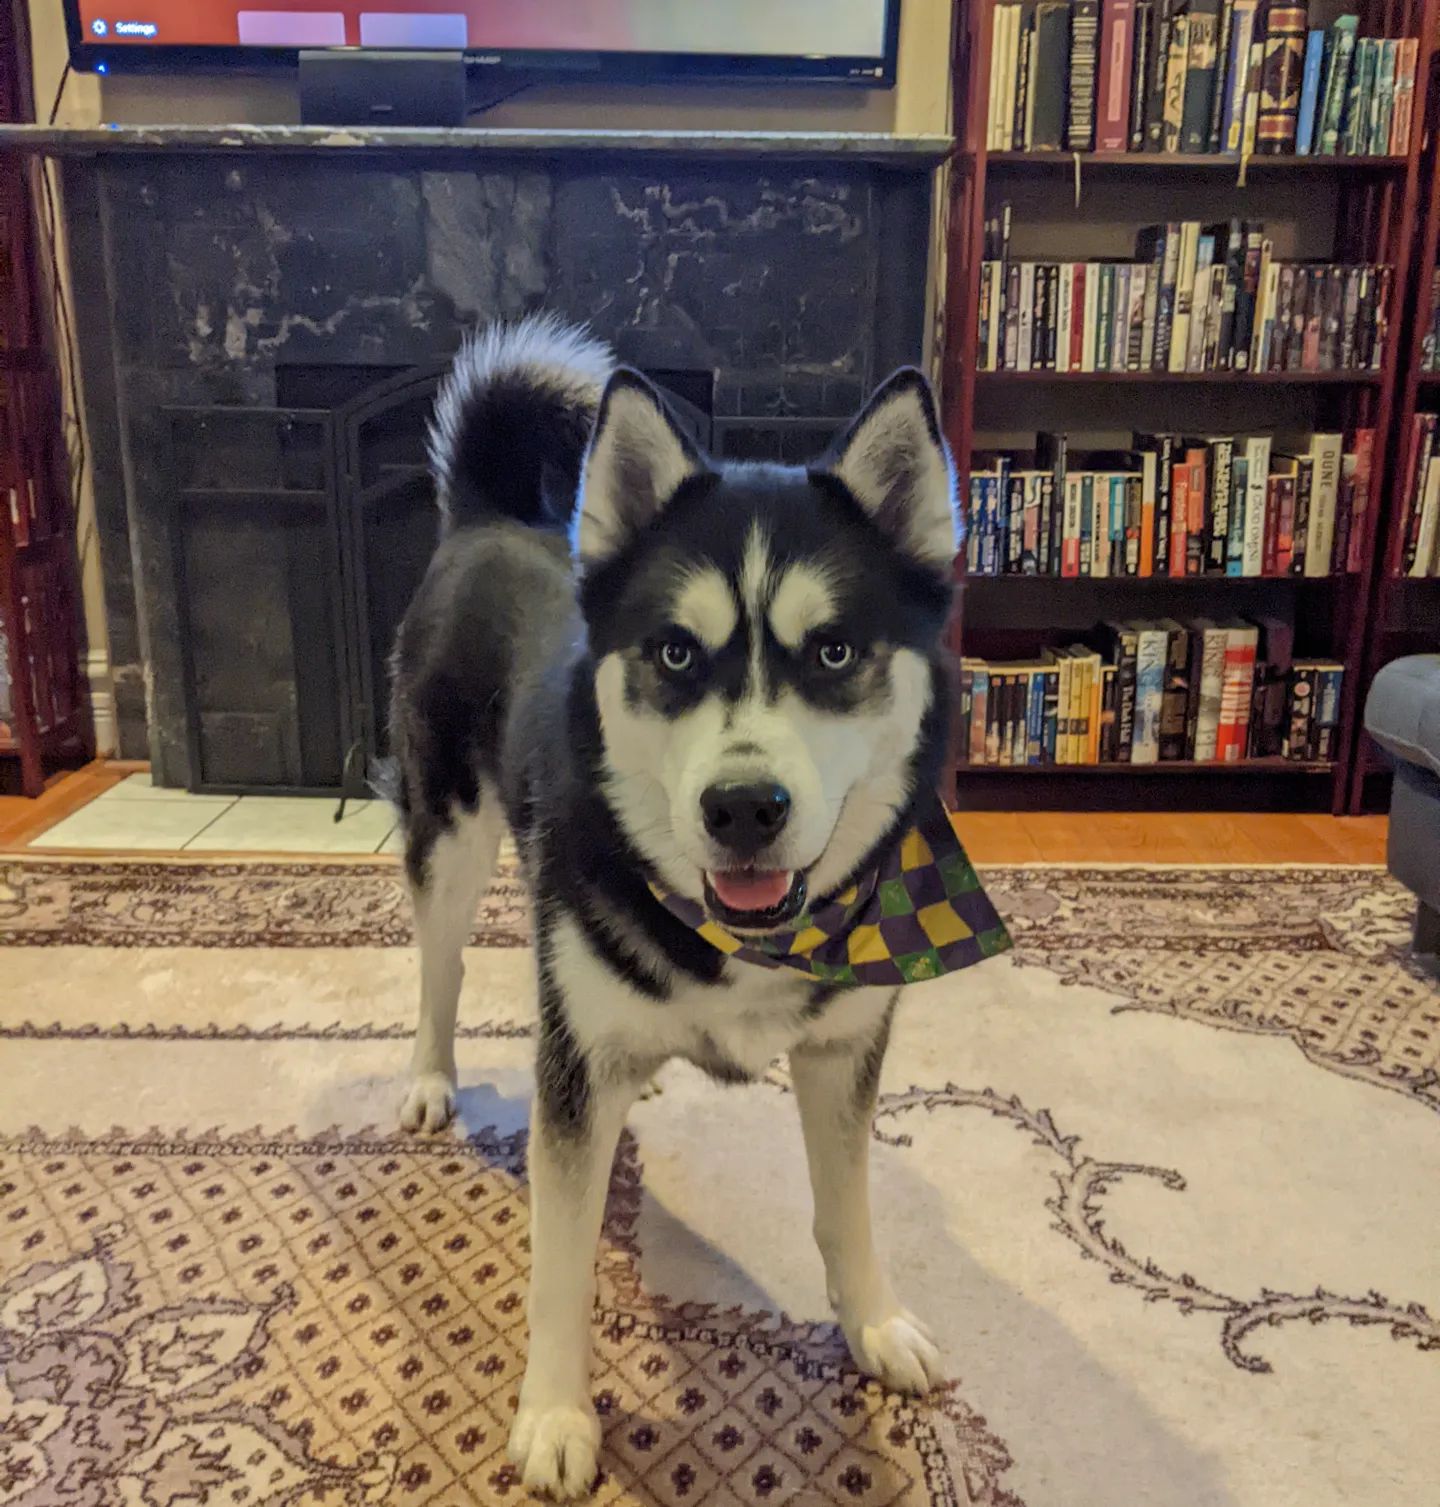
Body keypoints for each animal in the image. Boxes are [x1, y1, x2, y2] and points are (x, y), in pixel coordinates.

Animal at [388, 314, 964, 1494]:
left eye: (835, 650)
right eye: (674, 651)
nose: (743, 806)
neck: (748, 939)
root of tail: (486, 518)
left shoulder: (843, 1049)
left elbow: (848, 1206)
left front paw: (873, 1323)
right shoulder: (570, 1089)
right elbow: (559, 1262)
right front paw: (556, 1413)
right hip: (449, 837)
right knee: (444, 963)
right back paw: (430, 1076)